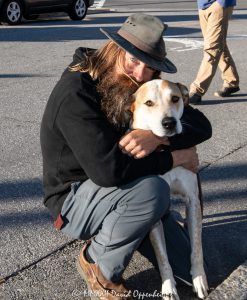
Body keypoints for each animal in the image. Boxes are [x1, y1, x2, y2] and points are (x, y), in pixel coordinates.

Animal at [129, 79, 208, 300]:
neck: (166, 149)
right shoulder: (155, 213)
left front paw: (199, 279)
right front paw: (168, 288)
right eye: (149, 103)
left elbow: (197, 248)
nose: (169, 123)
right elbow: (162, 257)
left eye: (175, 98)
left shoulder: (192, 199)